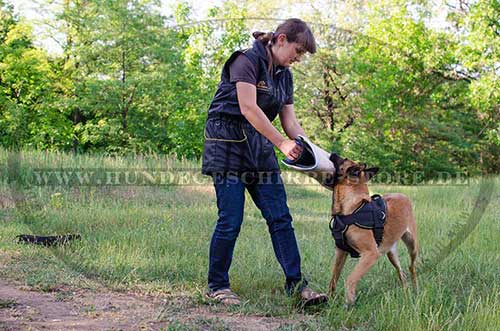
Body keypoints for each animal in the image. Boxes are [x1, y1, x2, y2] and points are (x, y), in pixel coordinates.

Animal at [328, 154, 418, 308]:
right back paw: (406, 295)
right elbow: (333, 279)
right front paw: (328, 301)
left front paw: (349, 303)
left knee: (412, 268)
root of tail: (402, 194)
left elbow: (350, 279)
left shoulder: (370, 254)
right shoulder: (340, 252)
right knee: (401, 273)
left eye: (343, 159)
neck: (351, 209)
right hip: (391, 254)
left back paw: (415, 291)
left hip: (412, 246)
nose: (332, 153)